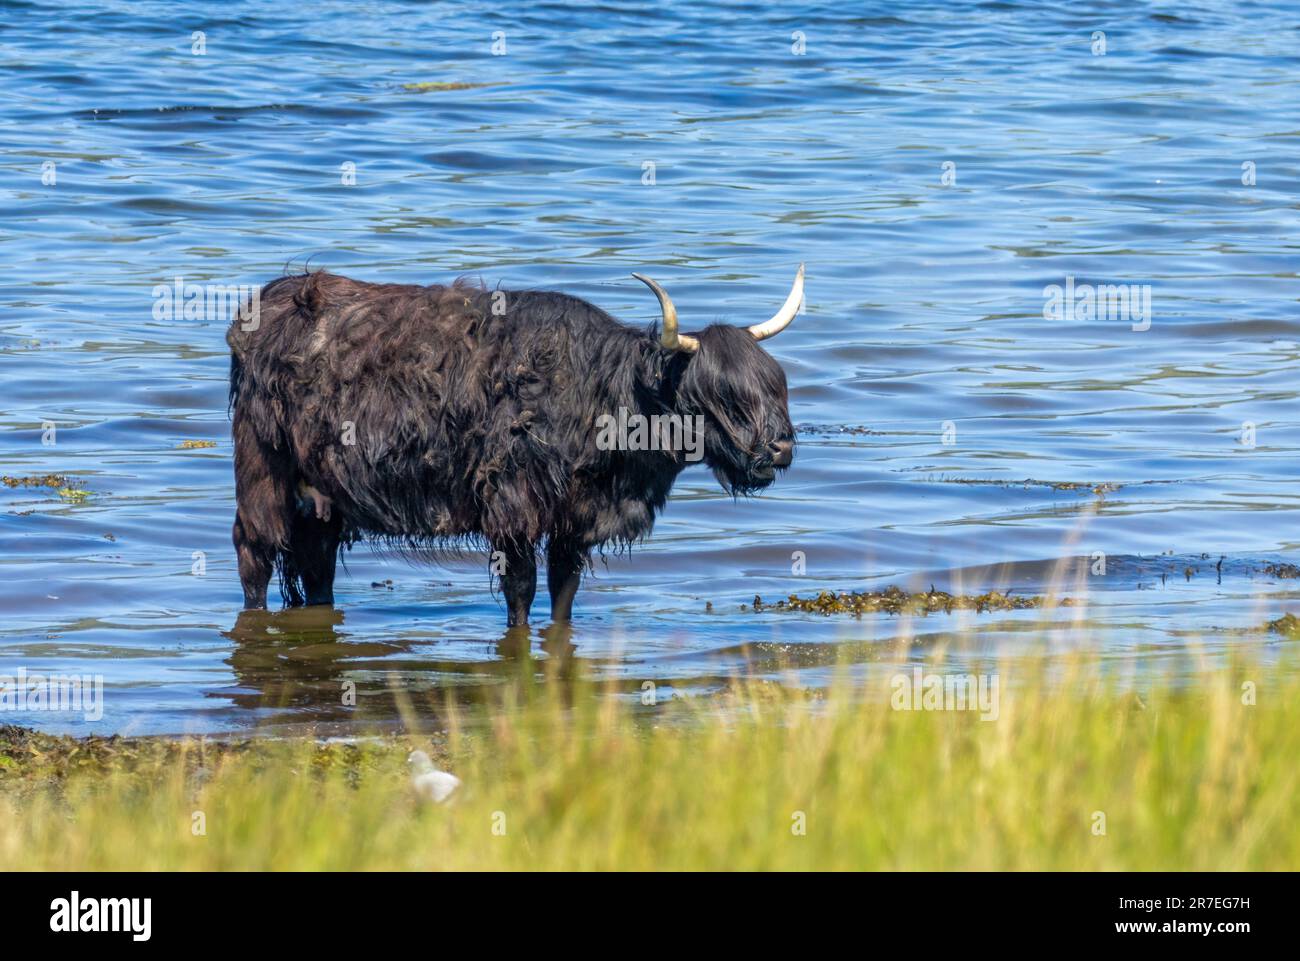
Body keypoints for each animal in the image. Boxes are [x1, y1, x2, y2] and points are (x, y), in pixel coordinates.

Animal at [226, 265, 802, 627]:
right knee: (254, 553)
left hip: (321, 497)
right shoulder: (513, 511)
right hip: (262, 474)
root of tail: (266, 304)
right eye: (720, 396)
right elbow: (521, 592)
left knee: (316, 565)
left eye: (775, 385)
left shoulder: (573, 522)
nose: (781, 449)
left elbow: (564, 591)